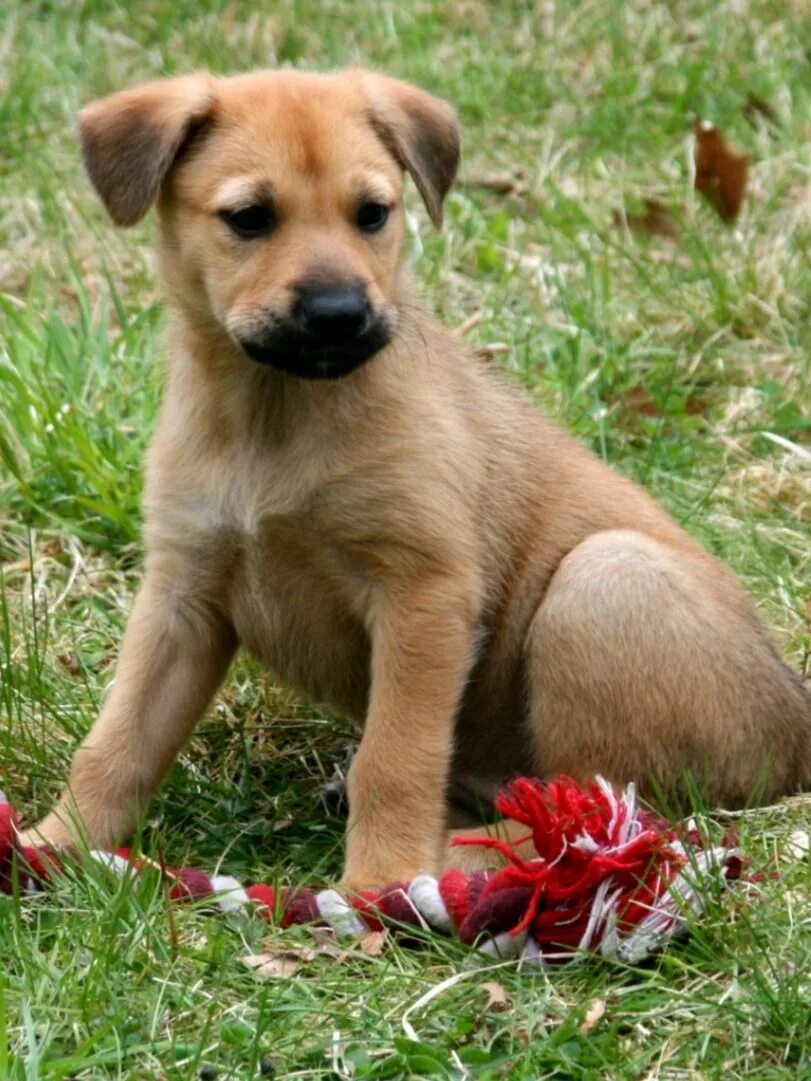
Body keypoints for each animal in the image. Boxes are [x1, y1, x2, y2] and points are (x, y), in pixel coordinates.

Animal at [22, 65, 808, 886]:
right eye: (248, 218)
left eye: (372, 214)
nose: (338, 313)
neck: (275, 419)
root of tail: (798, 729)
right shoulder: (183, 594)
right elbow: (117, 743)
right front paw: (57, 845)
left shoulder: (420, 592)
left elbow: (395, 758)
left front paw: (381, 884)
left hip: (603, 581)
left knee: (606, 810)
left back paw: (468, 857)